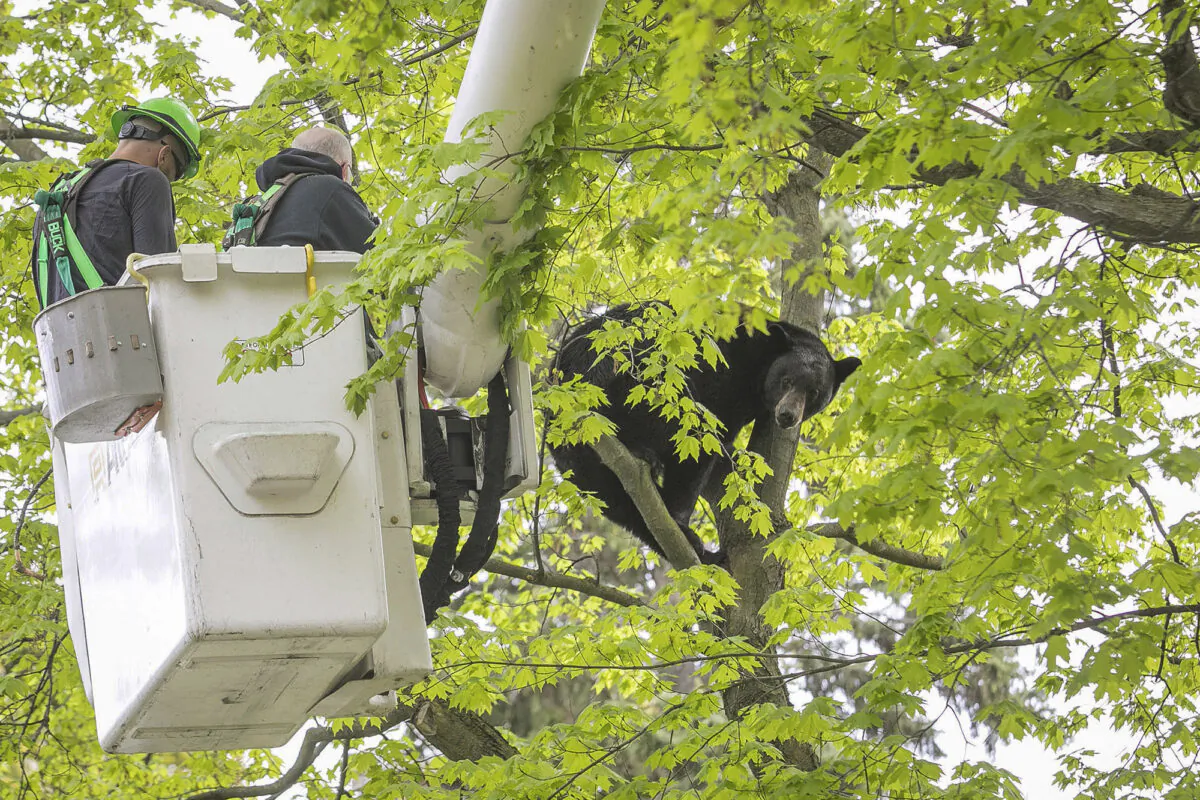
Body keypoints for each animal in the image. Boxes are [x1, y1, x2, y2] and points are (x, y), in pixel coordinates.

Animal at [549, 302, 861, 565]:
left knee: (621, 505)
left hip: (581, 464)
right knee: (687, 434)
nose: (787, 415)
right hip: (639, 380)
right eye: (787, 381)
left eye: (814, 392)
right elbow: (710, 434)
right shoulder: (725, 371)